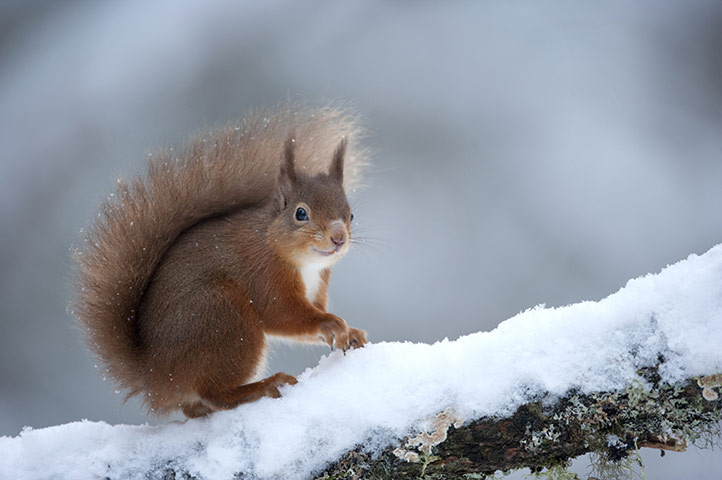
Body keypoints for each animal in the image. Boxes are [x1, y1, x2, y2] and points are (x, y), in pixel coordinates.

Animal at [73, 104, 368, 416]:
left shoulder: (317, 286)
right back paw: (263, 386)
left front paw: (350, 333)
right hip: (224, 315)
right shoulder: (263, 273)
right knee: (215, 393)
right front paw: (332, 323)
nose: (338, 238)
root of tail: (155, 376)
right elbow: (283, 314)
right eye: (301, 213)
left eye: (350, 215)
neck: (303, 263)